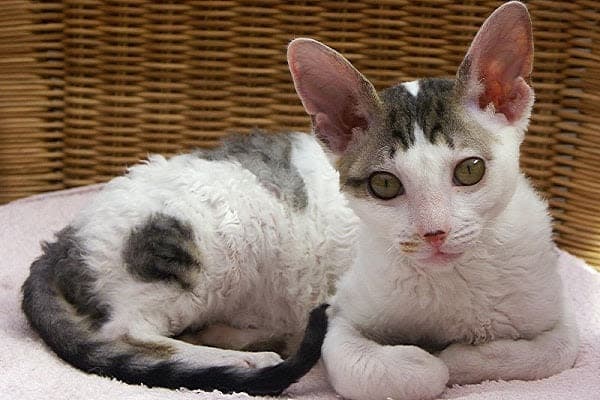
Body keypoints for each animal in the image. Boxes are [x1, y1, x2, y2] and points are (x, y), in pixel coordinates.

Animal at [21, 1, 580, 398]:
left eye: (469, 171)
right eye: (385, 185)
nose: (434, 233)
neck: (452, 283)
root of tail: (60, 239)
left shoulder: (559, 318)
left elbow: (552, 352)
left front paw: (460, 355)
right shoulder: (338, 318)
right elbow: (384, 373)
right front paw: (427, 361)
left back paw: (246, 338)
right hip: (204, 240)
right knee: (125, 331)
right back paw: (247, 360)